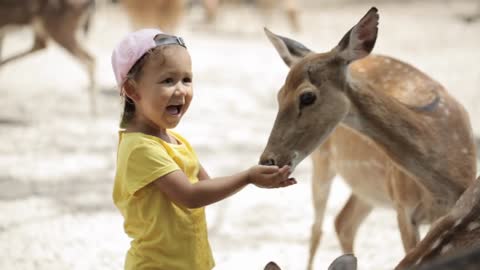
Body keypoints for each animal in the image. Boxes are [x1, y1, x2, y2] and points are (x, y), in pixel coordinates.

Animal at [258, 6, 476, 270]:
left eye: (307, 96)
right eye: (279, 94)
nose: (267, 160)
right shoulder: (404, 207)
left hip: (366, 187)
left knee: (342, 222)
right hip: (325, 162)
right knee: (320, 228)